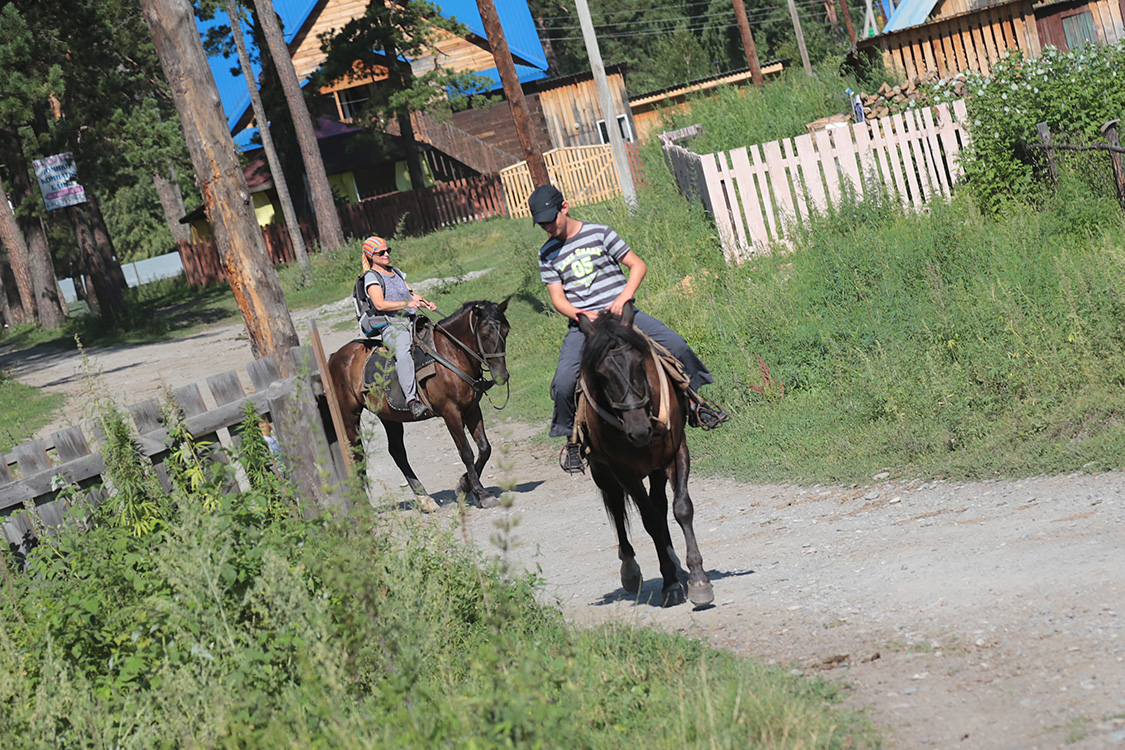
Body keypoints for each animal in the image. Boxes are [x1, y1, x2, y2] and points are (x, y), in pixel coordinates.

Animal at [580, 301, 711, 607]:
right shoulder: (624, 472)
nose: (639, 430)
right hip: (602, 472)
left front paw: (698, 579)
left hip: (656, 468)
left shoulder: (676, 453)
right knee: (618, 509)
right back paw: (630, 570)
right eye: (601, 375)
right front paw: (671, 584)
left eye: (639, 364)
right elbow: (649, 520)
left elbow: (681, 509)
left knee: (660, 505)